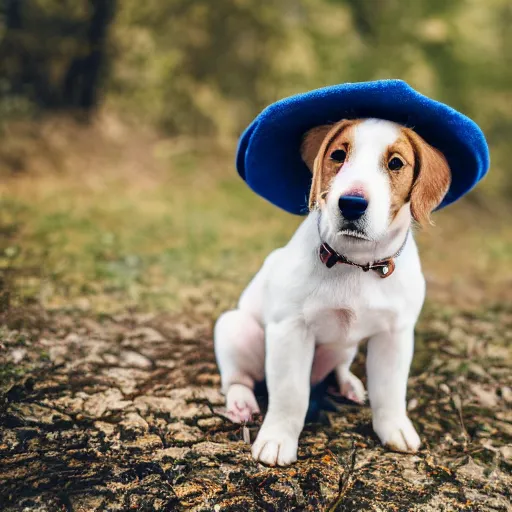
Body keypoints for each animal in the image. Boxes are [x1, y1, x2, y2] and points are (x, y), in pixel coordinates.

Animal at [214, 118, 450, 466]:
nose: (352, 204)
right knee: (238, 378)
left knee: (338, 366)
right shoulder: (290, 330)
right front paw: (278, 439)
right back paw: (241, 402)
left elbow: (390, 389)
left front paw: (395, 427)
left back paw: (348, 384)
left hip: (344, 347)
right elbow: (290, 394)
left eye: (395, 163)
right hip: (236, 328)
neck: (357, 262)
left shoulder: (395, 334)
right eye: (338, 155)